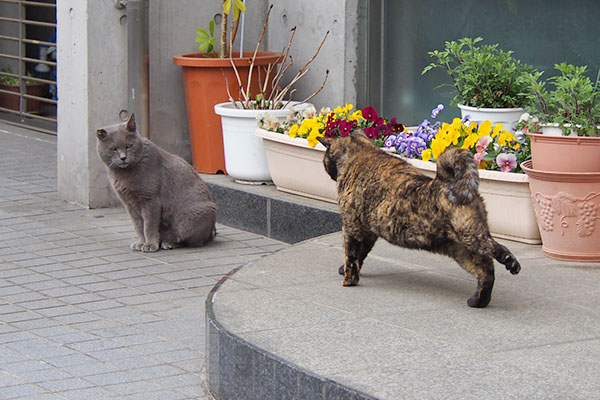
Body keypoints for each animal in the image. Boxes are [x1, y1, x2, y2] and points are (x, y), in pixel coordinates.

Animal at [97, 112, 219, 252]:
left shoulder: (150, 200)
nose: (123, 157)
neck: (124, 175)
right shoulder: (129, 204)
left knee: (187, 239)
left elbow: (149, 225)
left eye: (129, 146)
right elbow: (138, 226)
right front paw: (140, 243)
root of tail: (212, 231)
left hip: (195, 215)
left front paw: (150, 245)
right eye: (114, 149)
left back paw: (169, 243)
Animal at [318, 133, 520, 308]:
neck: (362, 154)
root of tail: (448, 181)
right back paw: (478, 301)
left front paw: (349, 280)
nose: (328, 171)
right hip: (462, 250)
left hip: (470, 236)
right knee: (486, 272)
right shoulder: (368, 232)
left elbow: (351, 256)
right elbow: (360, 255)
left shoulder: (352, 227)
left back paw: (511, 263)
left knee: (496, 249)